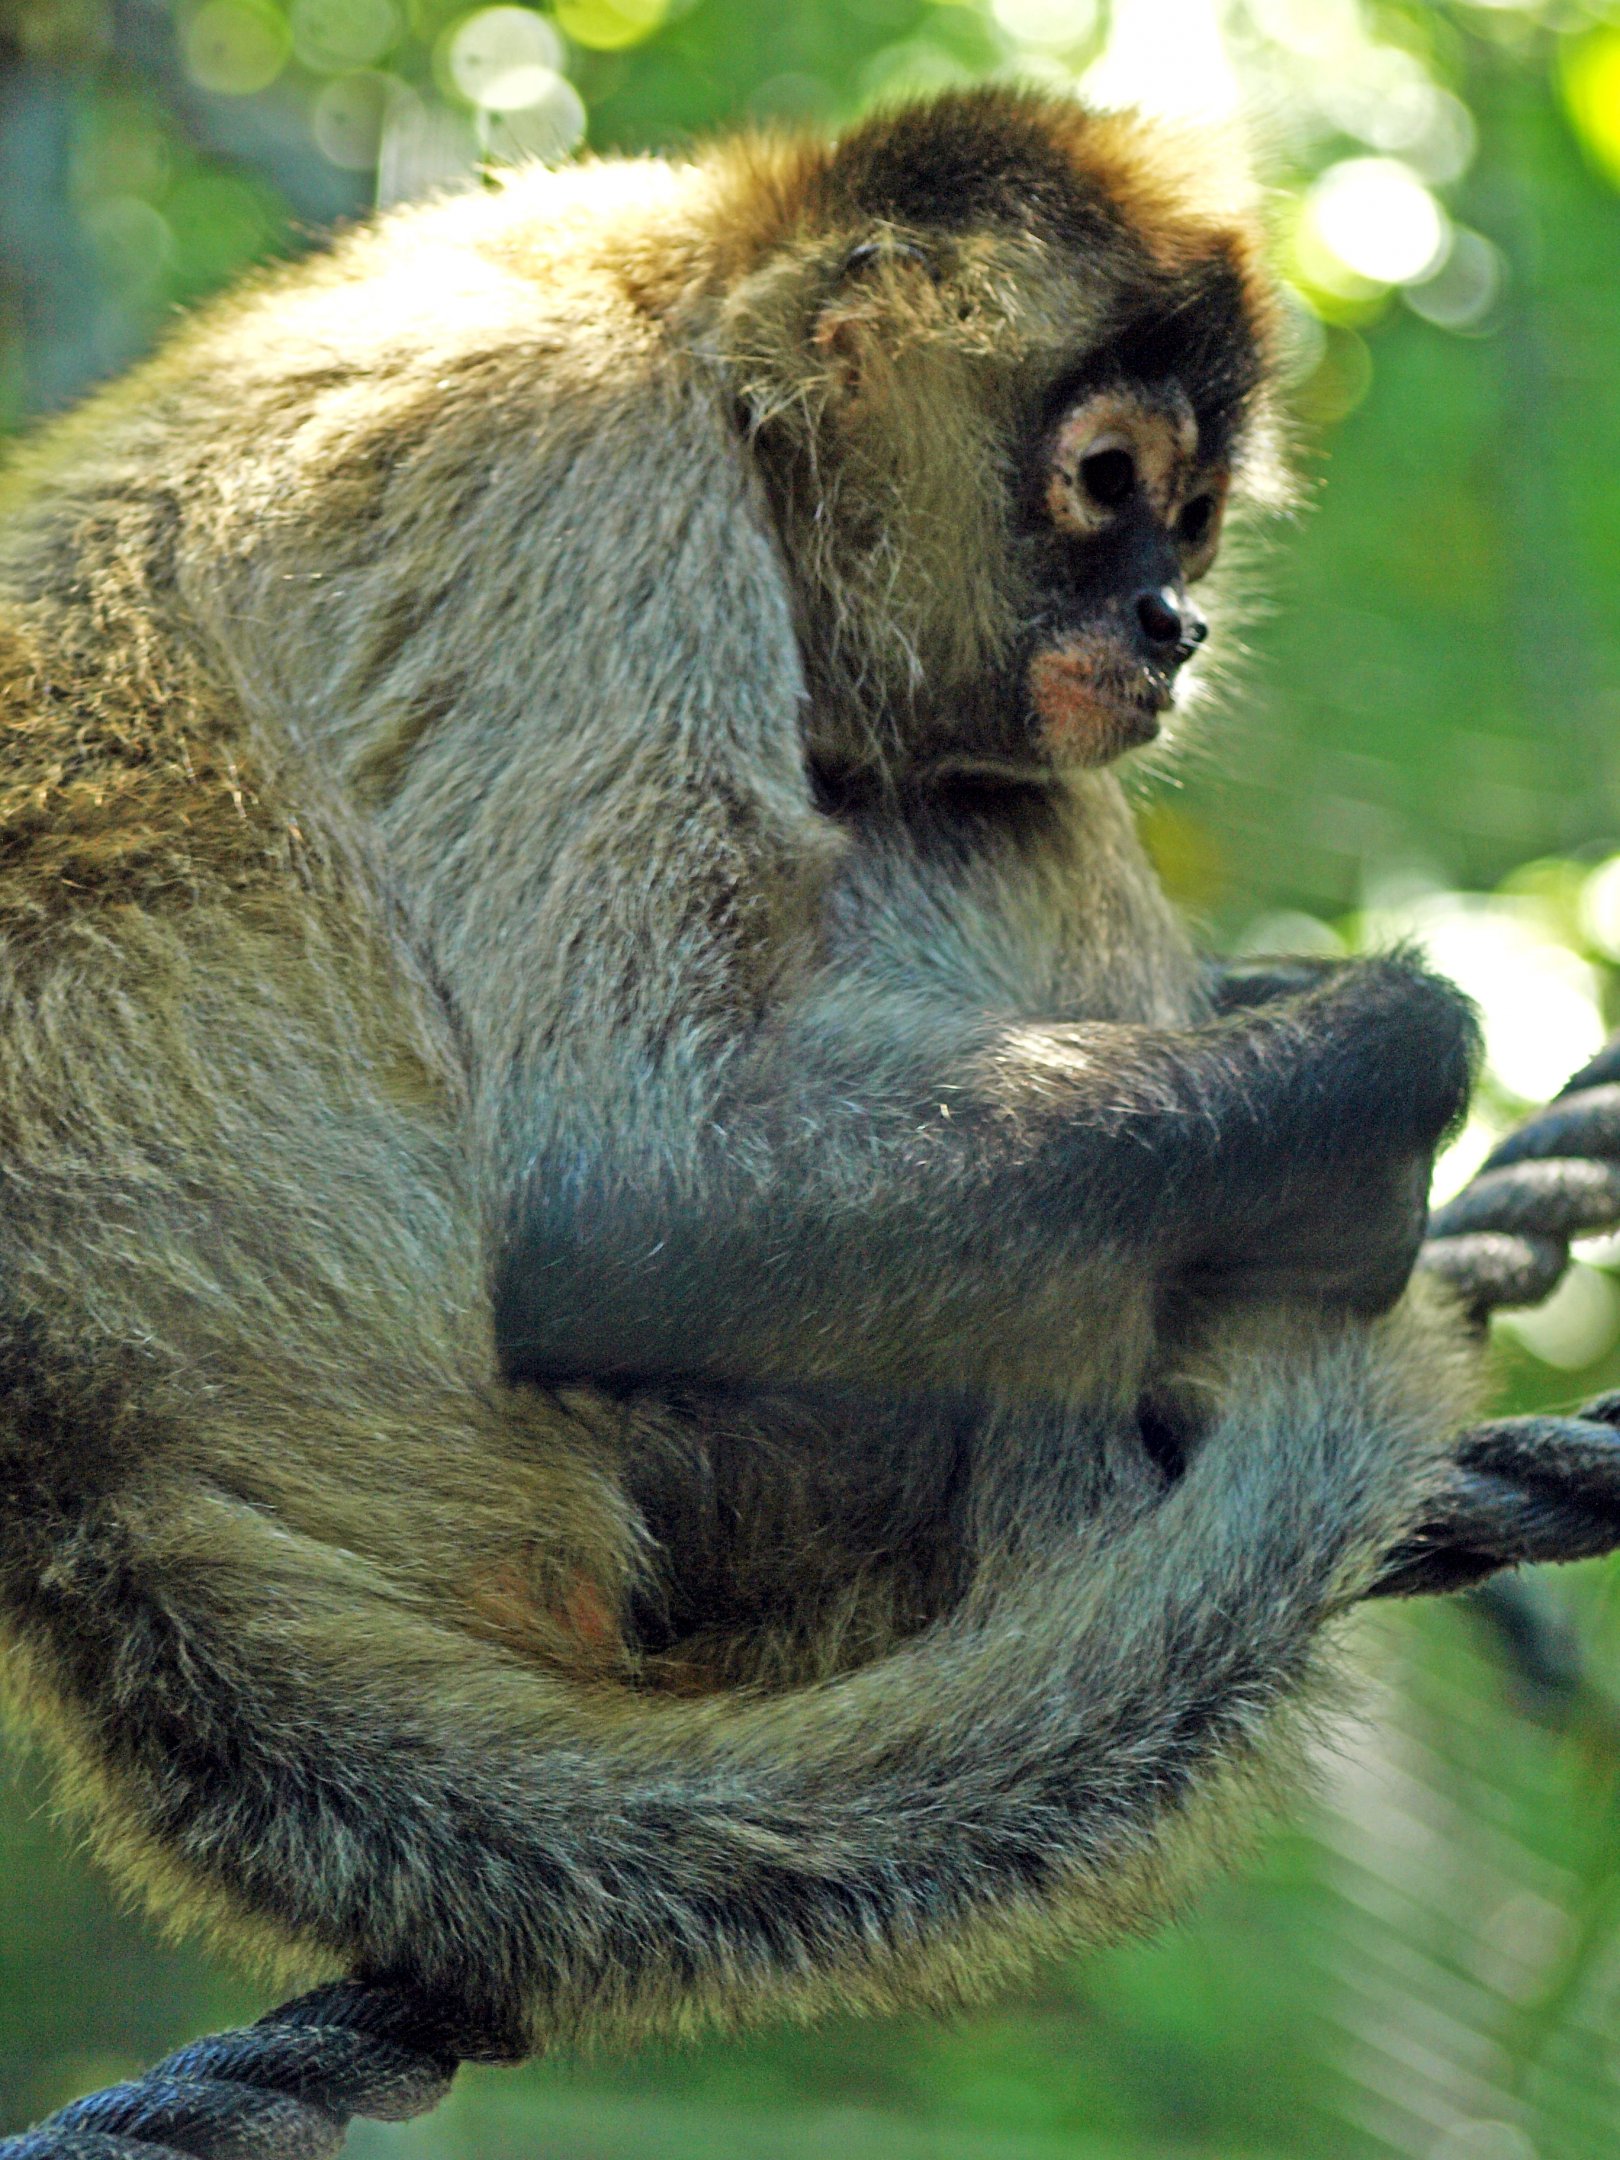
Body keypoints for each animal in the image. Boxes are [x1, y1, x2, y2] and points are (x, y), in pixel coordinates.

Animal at [0, 86, 1516, 2061]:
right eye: (1105, 481)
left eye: (1188, 524)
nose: (1173, 625)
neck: (680, 305)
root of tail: (86, 1467)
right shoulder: (584, 465)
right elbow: (627, 1196)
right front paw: (1389, 1065)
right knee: (1004, 816)